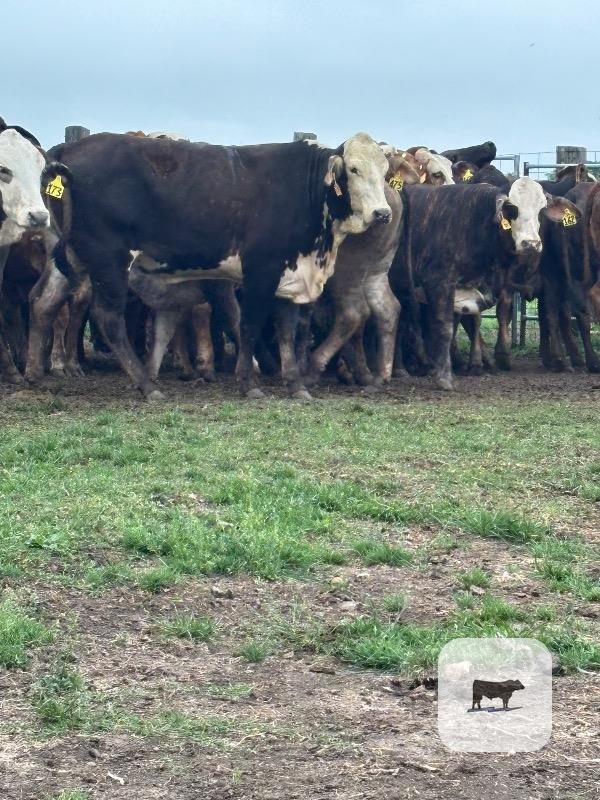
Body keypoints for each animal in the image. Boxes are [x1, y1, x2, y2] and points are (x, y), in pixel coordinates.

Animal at [44, 132, 391, 399]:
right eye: (354, 169)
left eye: (384, 170)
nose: (382, 213)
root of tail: (73, 147)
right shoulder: (260, 271)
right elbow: (249, 325)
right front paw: (248, 383)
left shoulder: (289, 275)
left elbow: (287, 332)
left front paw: (295, 385)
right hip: (109, 261)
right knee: (109, 319)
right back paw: (146, 385)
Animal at [388, 178, 580, 390]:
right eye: (511, 208)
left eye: (541, 209)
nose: (531, 244)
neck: (474, 221)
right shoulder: (439, 282)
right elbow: (445, 327)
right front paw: (445, 377)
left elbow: (472, 322)